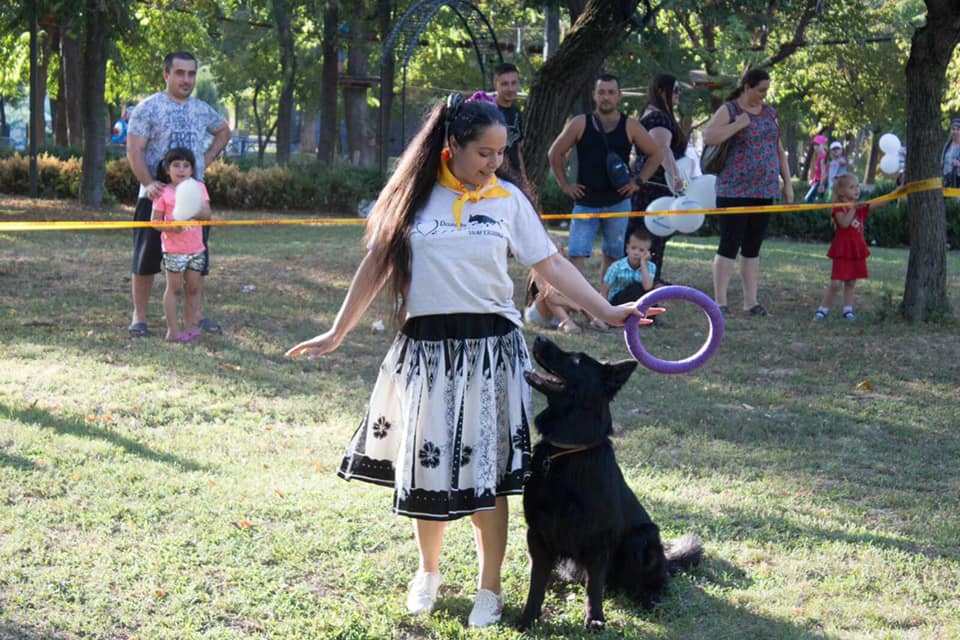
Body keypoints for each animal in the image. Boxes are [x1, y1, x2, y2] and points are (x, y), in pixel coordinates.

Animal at [516, 336, 704, 632]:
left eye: (576, 360)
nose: (539, 338)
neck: (567, 450)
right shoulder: (538, 534)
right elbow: (537, 582)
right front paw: (529, 617)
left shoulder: (598, 541)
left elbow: (593, 586)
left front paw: (594, 618)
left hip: (642, 538)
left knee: (654, 581)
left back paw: (649, 597)